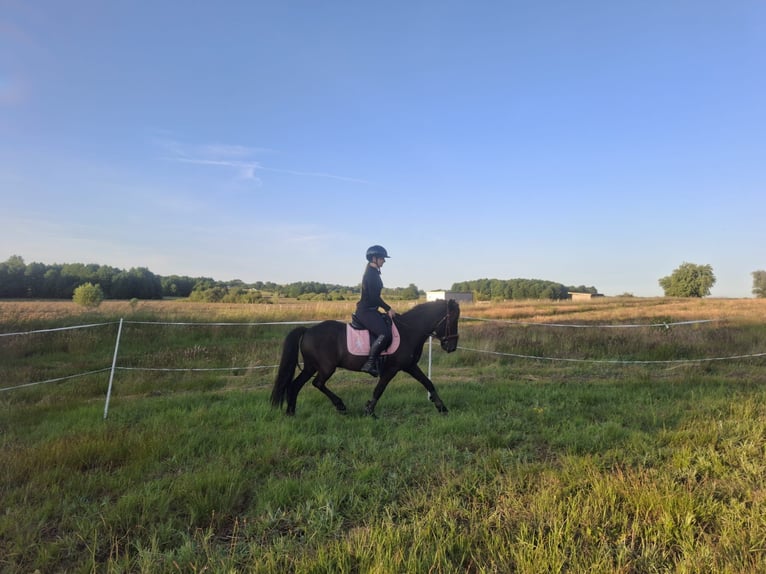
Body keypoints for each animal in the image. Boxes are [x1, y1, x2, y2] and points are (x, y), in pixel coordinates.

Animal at [271, 299, 460, 417]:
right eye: (452, 320)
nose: (451, 347)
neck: (409, 330)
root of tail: (308, 330)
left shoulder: (410, 366)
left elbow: (428, 383)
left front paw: (442, 407)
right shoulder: (392, 369)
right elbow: (379, 389)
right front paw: (369, 410)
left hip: (311, 366)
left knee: (295, 385)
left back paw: (291, 413)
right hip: (326, 367)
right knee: (318, 383)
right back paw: (340, 405)